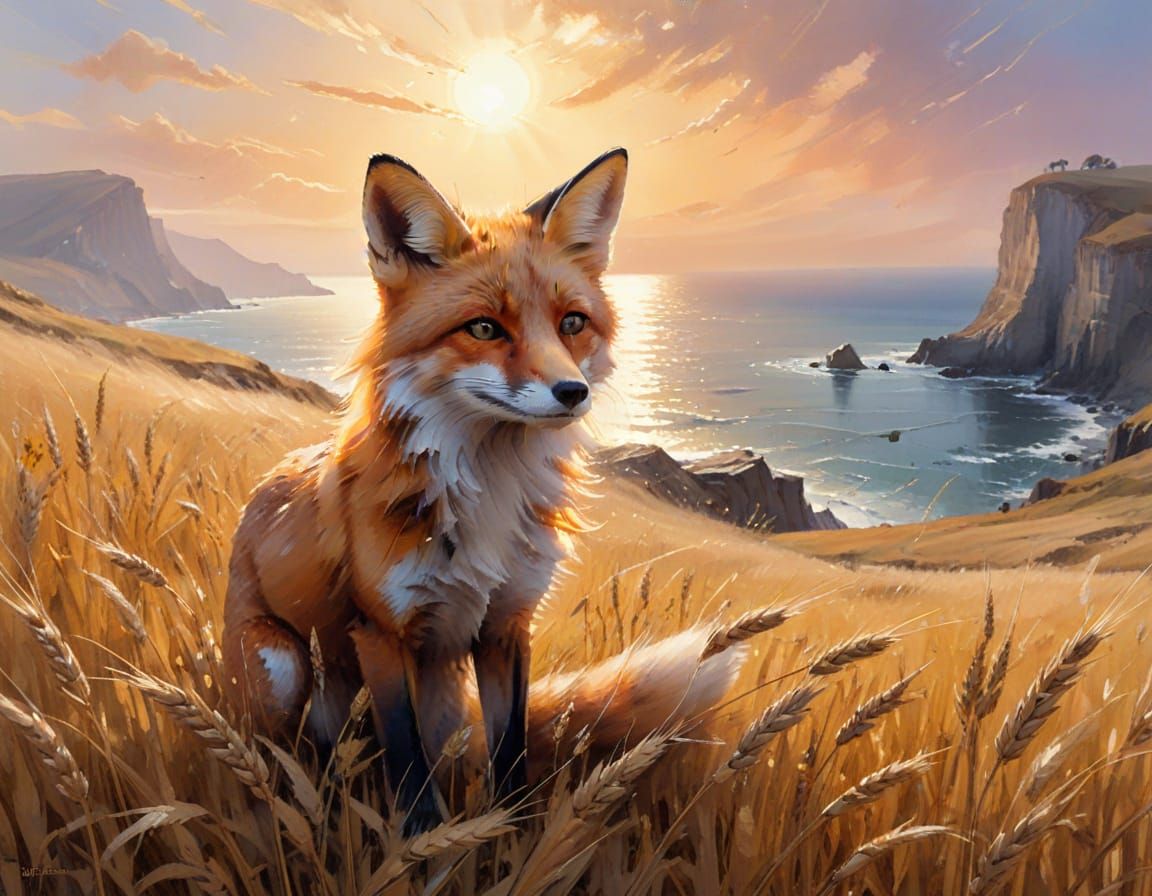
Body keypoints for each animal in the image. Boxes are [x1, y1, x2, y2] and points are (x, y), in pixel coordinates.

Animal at [222, 147, 752, 834]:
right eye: (483, 329)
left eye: (572, 323)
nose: (573, 392)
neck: (488, 498)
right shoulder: (381, 633)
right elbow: (411, 775)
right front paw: (420, 846)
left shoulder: (507, 624)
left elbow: (512, 756)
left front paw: (513, 839)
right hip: (283, 664)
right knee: (289, 757)